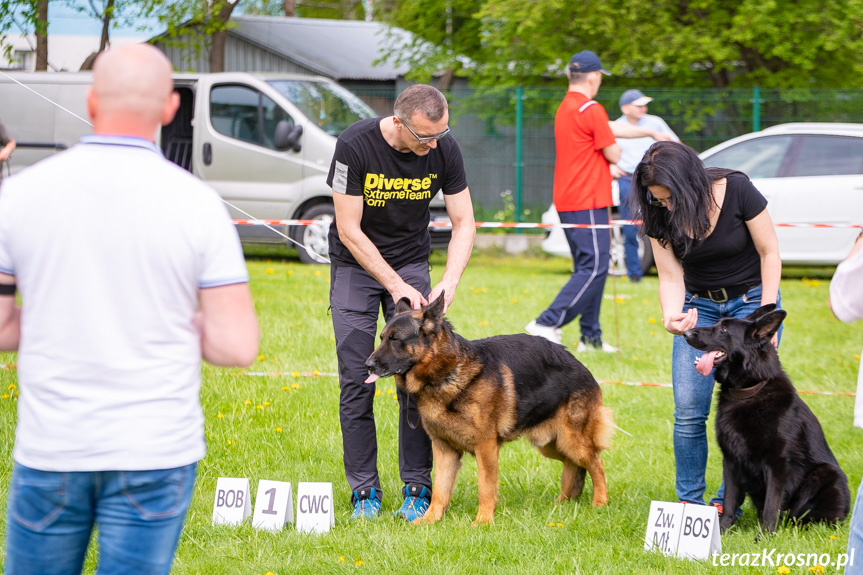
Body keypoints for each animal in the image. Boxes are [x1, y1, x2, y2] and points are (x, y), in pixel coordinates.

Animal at [688, 306, 852, 536]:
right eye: (717, 323)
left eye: (723, 329)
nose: (685, 333)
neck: (748, 392)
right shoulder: (731, 461)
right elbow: (729, 501)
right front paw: (722, 531)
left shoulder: (777, 464)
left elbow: (771, 504)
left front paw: (765, 536)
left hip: (826, 474)